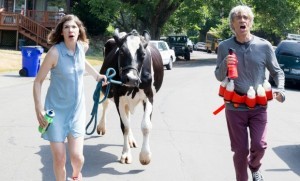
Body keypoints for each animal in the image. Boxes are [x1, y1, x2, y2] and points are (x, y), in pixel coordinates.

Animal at [97, 28, 164, 165]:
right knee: (105, 105)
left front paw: (145, 156)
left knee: (127, 115)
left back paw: (131, 140)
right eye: (121, 52)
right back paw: (101, 127)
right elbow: (125, 126)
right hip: (105, 87)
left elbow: (146, 125)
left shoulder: (149, 96)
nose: (131, 79)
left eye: (143, 54)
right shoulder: (118, 98)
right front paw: (126, 154)